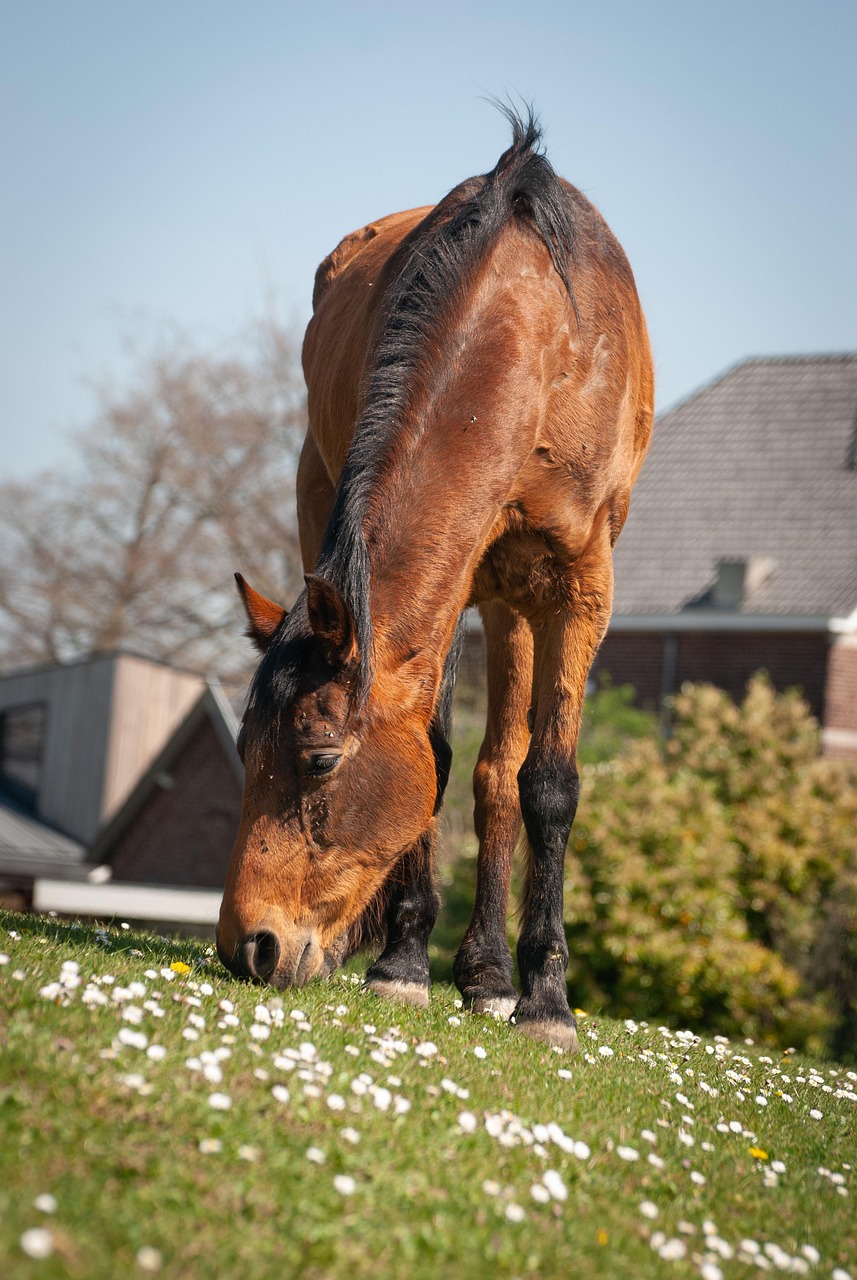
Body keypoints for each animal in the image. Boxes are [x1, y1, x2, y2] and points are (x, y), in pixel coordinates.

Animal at [216, 108, 653, 1050]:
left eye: (317, 759)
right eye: (242, 752)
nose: (249, 947)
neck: (533, 333)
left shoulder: (579, 588)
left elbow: (546, 784)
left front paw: (546, 1002)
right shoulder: (441, 591)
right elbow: (436, 757)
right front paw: (403, 964)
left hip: (517, 601)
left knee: (503, 775)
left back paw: (491, 977)